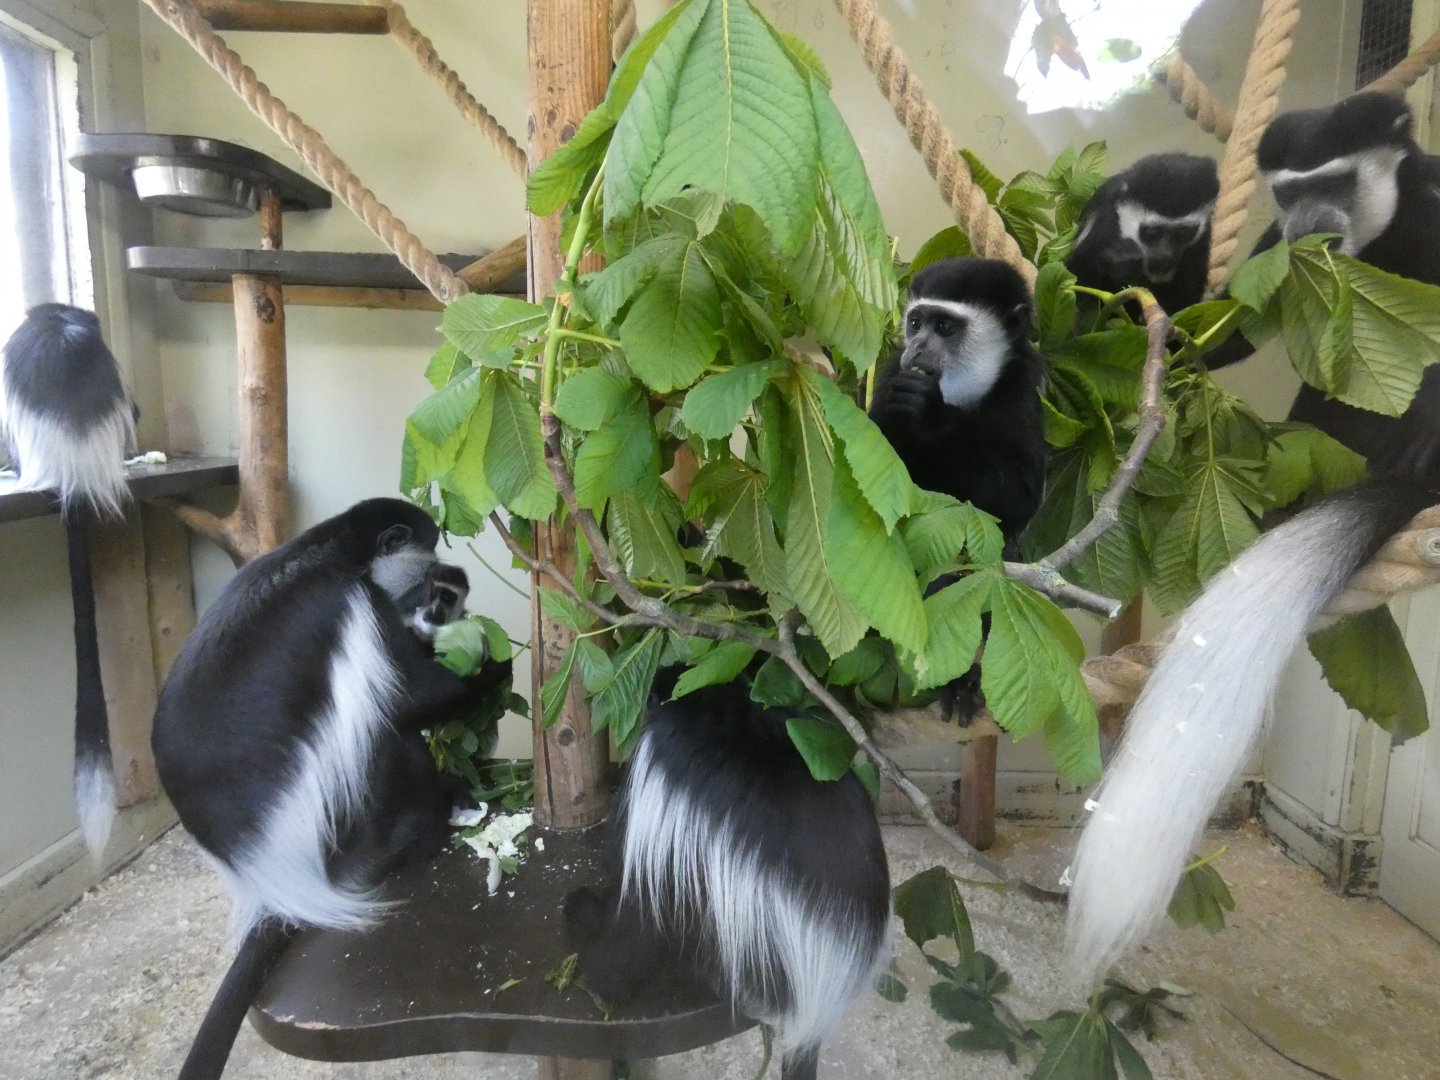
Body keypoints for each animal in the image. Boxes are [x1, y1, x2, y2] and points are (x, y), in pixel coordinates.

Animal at [150, 499, 512, 1080]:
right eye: (431, 577)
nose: (440, 611)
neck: (327, 552)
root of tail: (273, 880)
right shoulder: (359, 606)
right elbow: (413, 698)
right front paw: (495, 664)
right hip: (352, 829)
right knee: (385, 735)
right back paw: (428, 824)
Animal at [869, 258, 1048, 721]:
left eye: (946, 327)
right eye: (916, 323)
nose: (917, 347)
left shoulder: (1021, 390)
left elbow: (1021, 497)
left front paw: (929, 415)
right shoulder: (890, 376)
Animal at [1065, 152, 1219, 316]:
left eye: (1183, 233)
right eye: (1151, 233)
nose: (1164, 256)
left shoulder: (1204, 238)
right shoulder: (1104, 223)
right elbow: (1081, 271)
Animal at [1205, 93, 1440, 482]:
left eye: (1331, 186)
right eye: (1289, 194)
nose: (1307, 221)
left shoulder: (1430, 214)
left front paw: (1426, 424)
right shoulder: (1279, 245)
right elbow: (1236, 329)